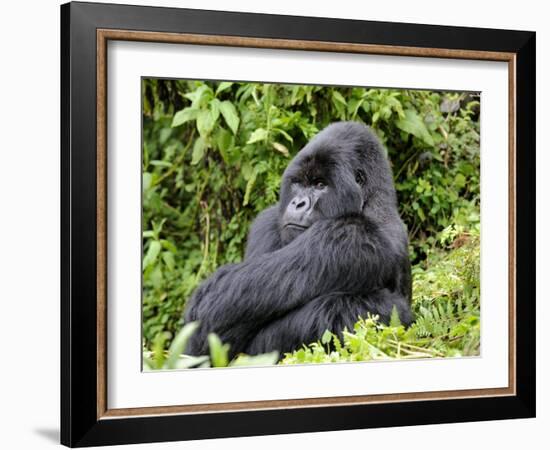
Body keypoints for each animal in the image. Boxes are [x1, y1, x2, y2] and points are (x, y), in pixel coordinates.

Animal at [183, 121, 412, 360]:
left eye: (320, 185)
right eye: (298, 183)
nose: (298, 203)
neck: (373, 203)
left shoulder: (350, 235)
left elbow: (217, 305)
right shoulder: (267, 221)